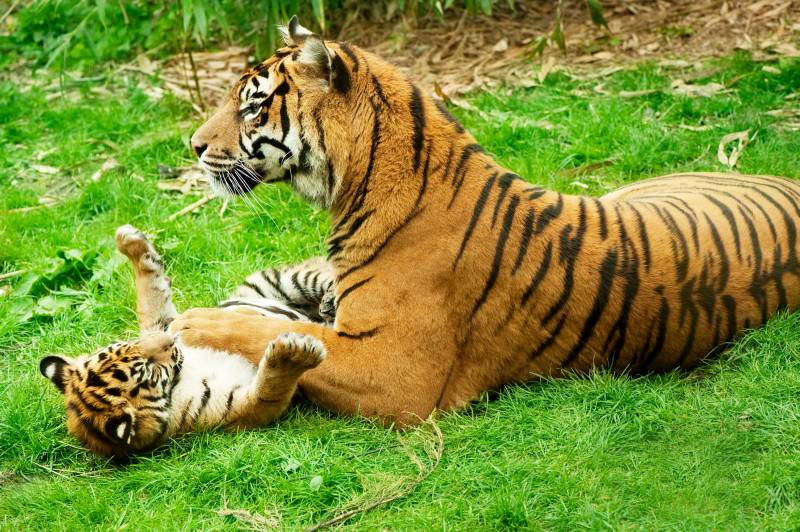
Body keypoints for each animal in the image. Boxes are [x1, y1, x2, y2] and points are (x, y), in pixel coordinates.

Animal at [39, 225, 335, 457]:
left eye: (130, 345)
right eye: (147, 370)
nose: (171, 342)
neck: (178, 382)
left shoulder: (164, 321)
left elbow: (150, 295)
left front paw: (131, 243)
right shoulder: (241, 407)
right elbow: (270, 387)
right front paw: (293, 353)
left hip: (277, 282)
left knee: (322, 275)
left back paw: (330, 299)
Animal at [173, 16, 800, 426]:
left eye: (252, 105)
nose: (194, 146)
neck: (360, 182)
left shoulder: (393, 372)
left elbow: (266, 330)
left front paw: (193, 322)